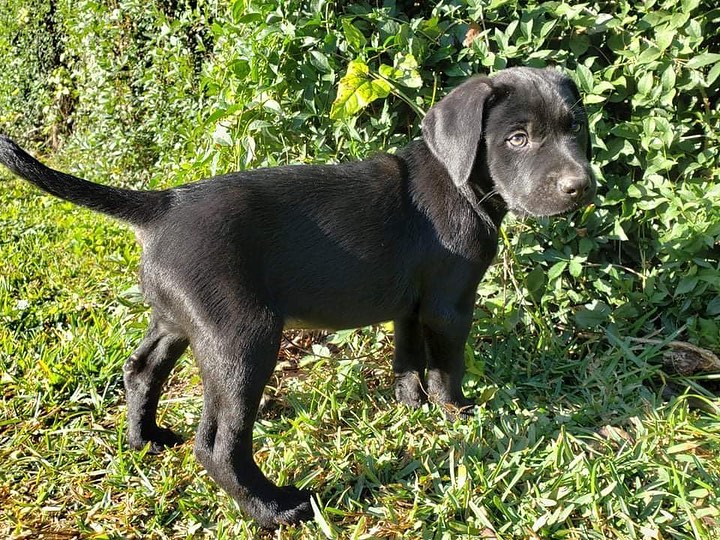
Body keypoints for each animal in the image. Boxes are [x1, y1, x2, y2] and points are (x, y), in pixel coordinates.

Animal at [0, 65, 592, 524]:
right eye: (517, 139)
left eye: (576, 129)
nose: (580, 186)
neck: (461, 181)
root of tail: (163, 204)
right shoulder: (449, 304)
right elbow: (448, 364)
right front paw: (457, 412)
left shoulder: (410, 305)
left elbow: (407, 359)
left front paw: (413, 407)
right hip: (242, 340)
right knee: (217, 444)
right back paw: (275, 509)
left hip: (179, 320)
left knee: (141, 369)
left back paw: (145, 439)